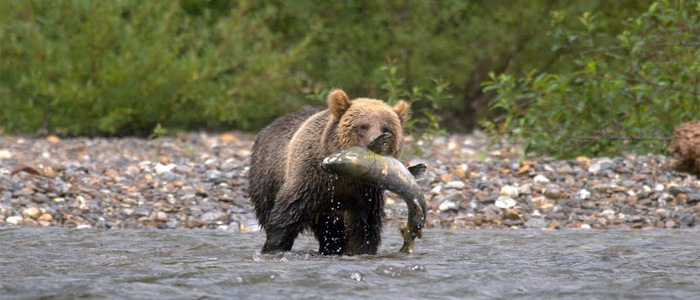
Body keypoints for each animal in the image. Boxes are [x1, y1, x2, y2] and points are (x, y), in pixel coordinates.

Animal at [247, 89, 408, 255]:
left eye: (387, 129)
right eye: (363, 126)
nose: (378, 141)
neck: (347, 177)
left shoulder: (366, 193)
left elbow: (364, 229)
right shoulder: (309, 180)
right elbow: (287, 215)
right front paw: (274, 247)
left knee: (330, 231)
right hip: (267, 177)